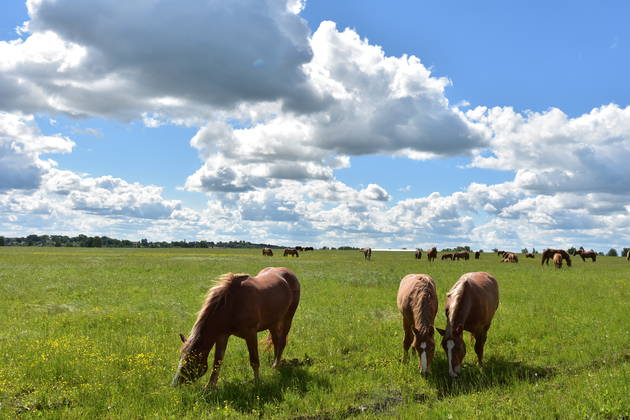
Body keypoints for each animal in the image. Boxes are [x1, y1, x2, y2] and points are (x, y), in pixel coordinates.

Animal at [172, 268, 302, 386]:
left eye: (189, 361)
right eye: (180, 357)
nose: (174, 384)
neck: (233, 304)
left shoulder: (251, 334)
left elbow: (254, 361)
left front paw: (257, 383)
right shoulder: (222, 336)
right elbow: (217, 362)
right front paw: (209, 387)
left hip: (287, 319)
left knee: (282, 342)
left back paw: (276, 365)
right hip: (273, 322)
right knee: (276, 341)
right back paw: (275, 365)